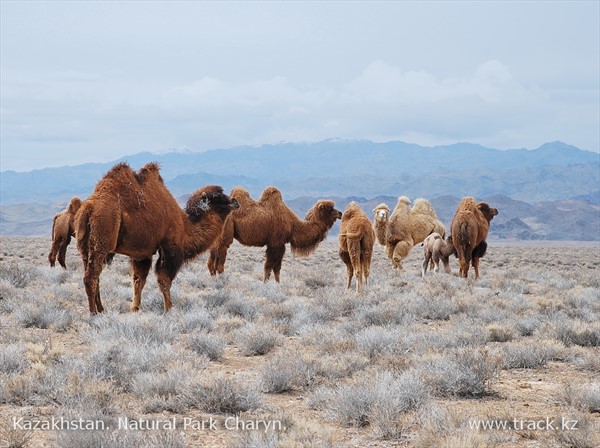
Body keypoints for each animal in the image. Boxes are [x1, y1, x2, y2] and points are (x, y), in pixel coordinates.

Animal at [76, 163, 240, 314]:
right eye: (217, 197)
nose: (235, 201)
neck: (185, 226)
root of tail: (89, 207)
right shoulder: (170, 248)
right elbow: (164, 279)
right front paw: (169, 309)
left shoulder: (142, 254)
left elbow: (139, 280)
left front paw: (135, 308)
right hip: (102, 240)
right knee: (90, 277)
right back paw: (93, 313)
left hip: (85, 246)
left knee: (94, 274)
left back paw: (101, 309)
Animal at [206, 187, 340, 282]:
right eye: (329, 209)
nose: (340, 213)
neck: (293, 225)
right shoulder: (275, 243)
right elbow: (269, 266)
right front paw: (266, 283)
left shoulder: (281, 245)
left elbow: (277, 268)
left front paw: (277, 283)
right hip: (226, 233)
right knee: (220, 262)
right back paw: (222, 281)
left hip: (217, 238)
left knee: (211, 262)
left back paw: (214, 280)